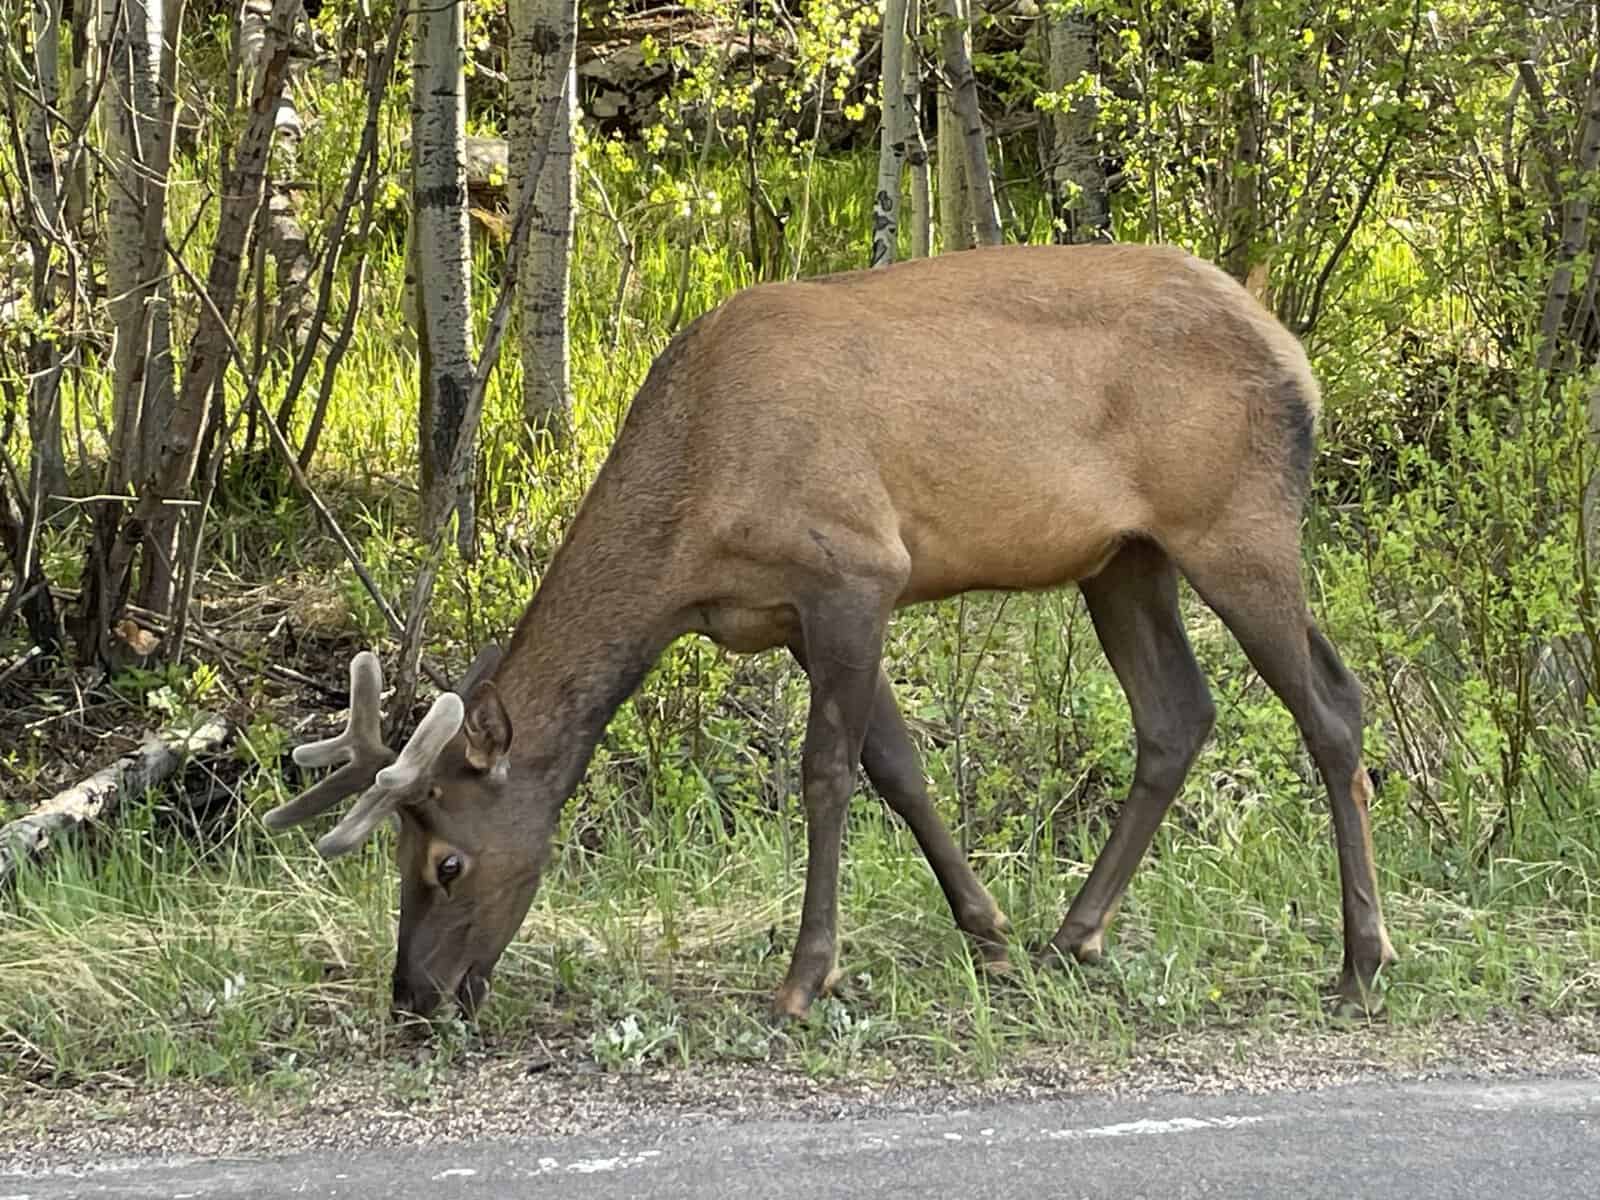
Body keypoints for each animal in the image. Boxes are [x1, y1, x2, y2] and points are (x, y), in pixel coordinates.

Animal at [265, 241, 1397, 1024]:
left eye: (446, 863)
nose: (415, 995)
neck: (693, 520)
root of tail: (1298, 361)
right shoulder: (792, 614)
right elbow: (900, 767)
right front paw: (988, 936)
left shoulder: (855, 567)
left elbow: (826, 774)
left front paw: (804, 979)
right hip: (1126, 557)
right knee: (1176, 714)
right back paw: (1072, 935)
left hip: (1235, 522)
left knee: (1333, 707)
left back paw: (1359, 961)